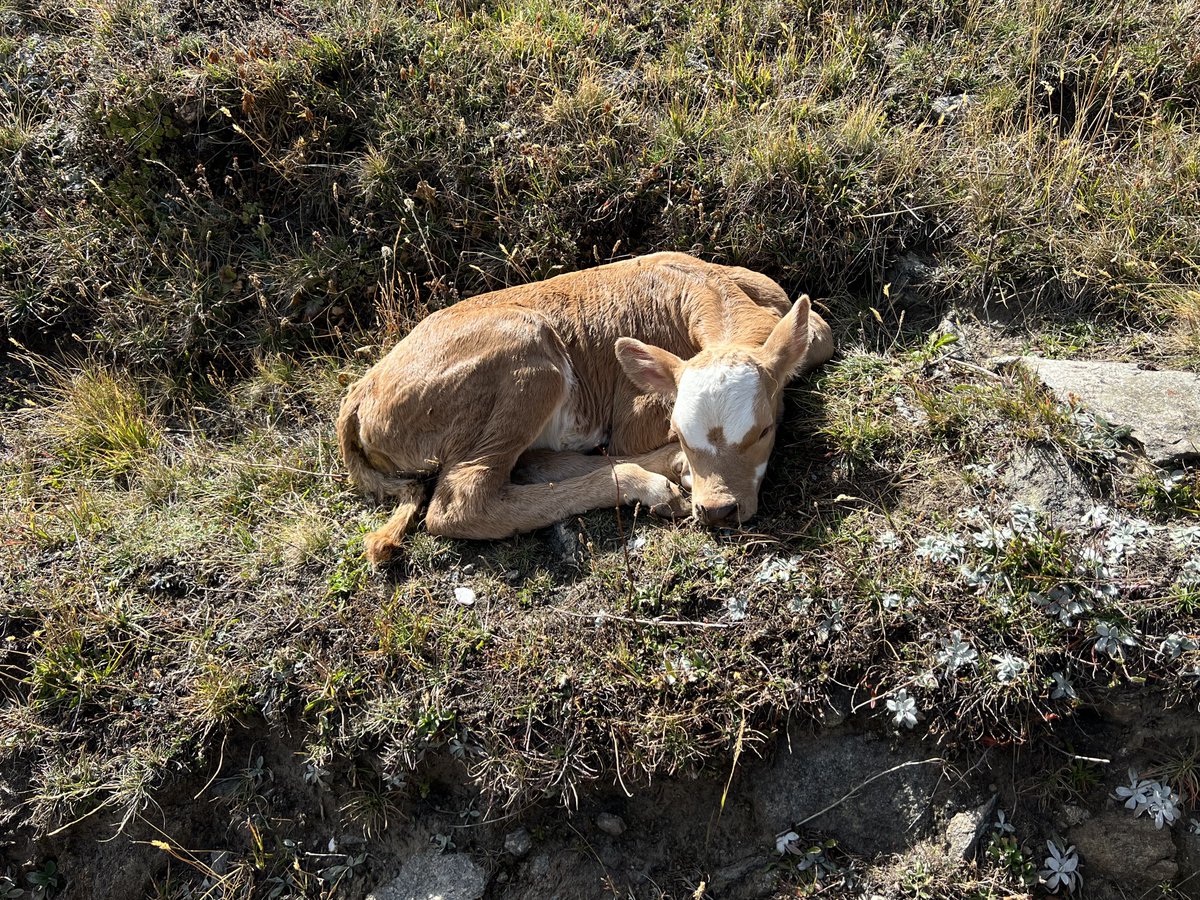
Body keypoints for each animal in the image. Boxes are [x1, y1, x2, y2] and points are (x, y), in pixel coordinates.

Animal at [337, 252, 834, 564]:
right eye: (682, 431)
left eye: (764, 430)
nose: (716, 511)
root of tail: (361, 390)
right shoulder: (633, 415)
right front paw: (676, 465)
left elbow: (822, 335)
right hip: (527, 354)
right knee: (461, 502)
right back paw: (652, 483)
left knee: (529, 464)